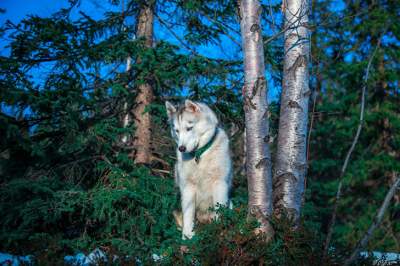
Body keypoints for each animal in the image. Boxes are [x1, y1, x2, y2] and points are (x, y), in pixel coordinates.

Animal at [165, 100, 233, 239]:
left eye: (189, 128)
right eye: (176, 131)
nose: (181, 148)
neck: (200, 155)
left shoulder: (220, 184)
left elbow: (219, 209)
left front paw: (219, 230)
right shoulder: (188, 187)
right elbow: (188, 214)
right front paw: (187, 236)